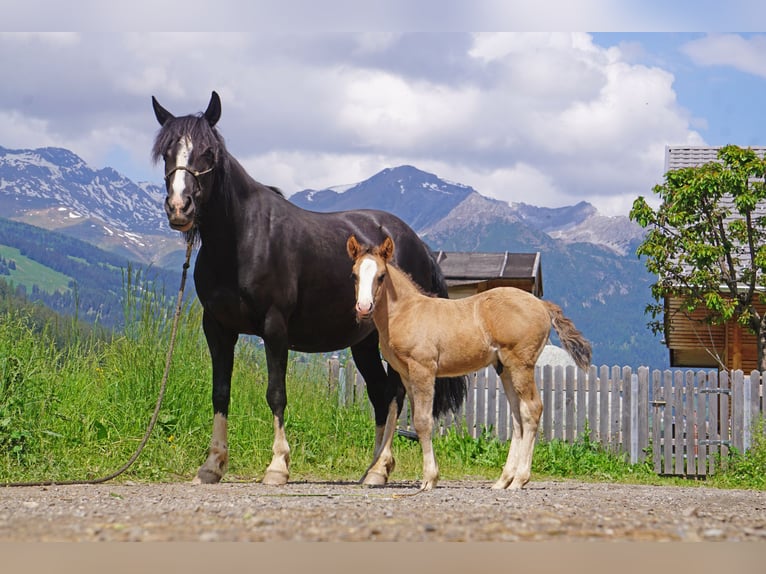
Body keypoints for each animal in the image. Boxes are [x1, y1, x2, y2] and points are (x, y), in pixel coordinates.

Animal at [149, 91, 462, 486]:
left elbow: (276, 394)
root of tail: (417, 243)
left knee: (394, 395)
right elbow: (220, 393)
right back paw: (373, 467)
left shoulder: (274, 327)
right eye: (167, 152)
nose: (179, 208)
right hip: (364, 342)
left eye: (208, 152)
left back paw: (379, 468)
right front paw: (212, 465)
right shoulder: (217, 328)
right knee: (379, 395)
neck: (241, 239)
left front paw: (278, 465)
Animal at [348, 236, 592, 492]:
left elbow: (423, 421)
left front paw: (429, 479)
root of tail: (542, 305)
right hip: (505, 368)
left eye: (381, 275)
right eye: (354, 275)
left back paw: (519, 480)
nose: (363, 308)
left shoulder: (423, 369)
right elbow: (415, 418)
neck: (407, 311)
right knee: (518, 417)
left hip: (521, 365)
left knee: (532, 409)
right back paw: (503, 480)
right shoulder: (406, 374)